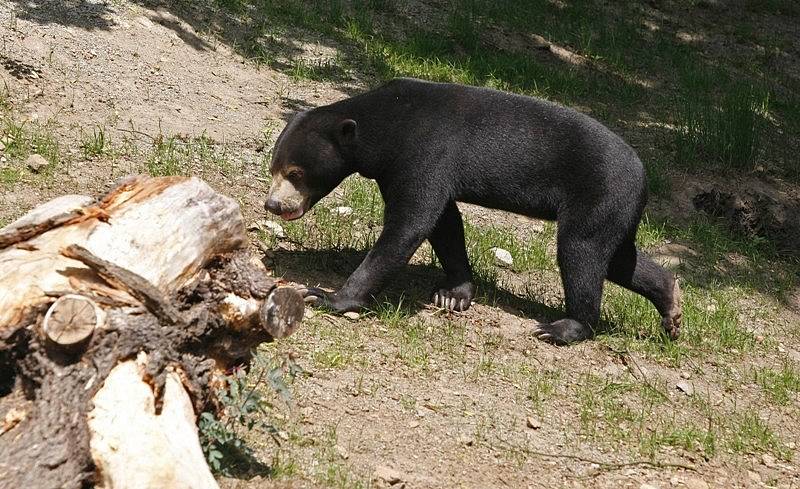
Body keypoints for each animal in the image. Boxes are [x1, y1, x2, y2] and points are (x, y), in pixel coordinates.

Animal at [264, 77, 680, 344]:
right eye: (274, 168)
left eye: (295, 173)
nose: (273, 204)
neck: (386, 128)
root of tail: (644, 177)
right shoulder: (400, 167)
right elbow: (445, 223)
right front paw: (454, 294)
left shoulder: (425, 152)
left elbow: (411, 223)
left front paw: (327, 296)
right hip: (614, 209)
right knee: (617, 258)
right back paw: (671, 307)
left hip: (599, 193)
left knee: (581, 252)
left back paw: (563, 327)